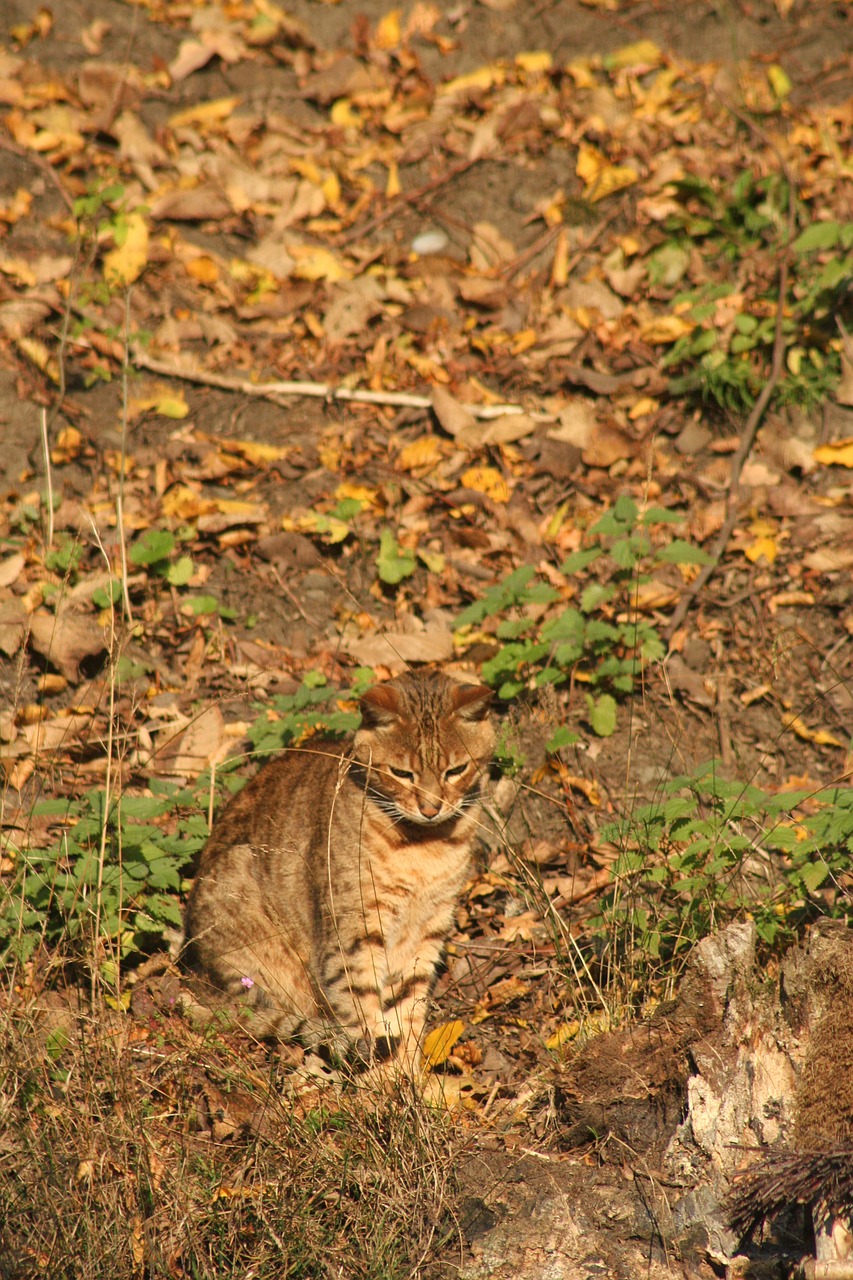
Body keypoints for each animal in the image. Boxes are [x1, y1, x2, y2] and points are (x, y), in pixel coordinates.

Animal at [185, 670, 491, 1070]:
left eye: (456, 770)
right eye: (402, 773)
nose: (430, 808)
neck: (425, 846)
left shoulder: (426, 932)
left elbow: (407, 1009)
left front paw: (407, 1075)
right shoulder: (354, 937)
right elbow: (363, 1012)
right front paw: (382, 1080)